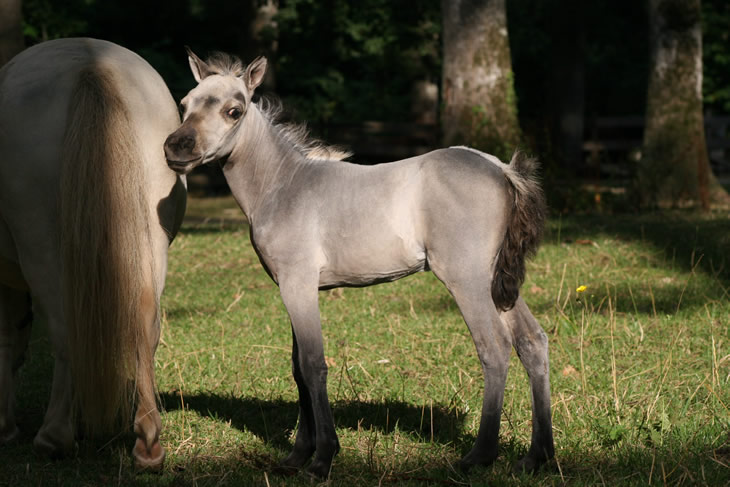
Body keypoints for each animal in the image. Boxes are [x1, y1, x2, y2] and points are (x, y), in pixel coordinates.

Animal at [0, 36, 185, 470]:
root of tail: (89, 64)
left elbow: (8, 339)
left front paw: (4, 426)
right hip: (149, 244)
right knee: (145, 324)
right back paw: (148, 442)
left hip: (42, 251)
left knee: (64, 328)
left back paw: (53, 438)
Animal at [164, 50, 552, 480]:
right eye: (185, 104)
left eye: (234, 111)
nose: (176, 147)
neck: (283, 185)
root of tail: (503, 169)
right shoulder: (294, 288)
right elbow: (298, 368)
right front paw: (296, 457)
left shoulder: (298, 284)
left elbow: (314, 365)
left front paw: (322, 458)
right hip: (497, 283)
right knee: (532, 341)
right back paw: (537, 456)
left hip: (467, 279)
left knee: (495, 347)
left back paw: (479, 455)